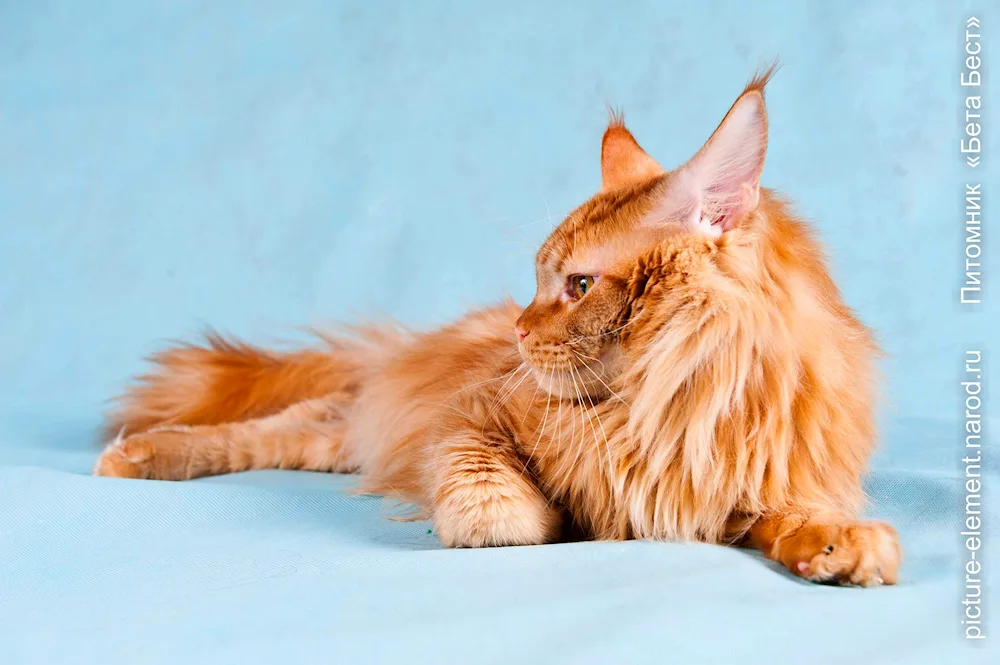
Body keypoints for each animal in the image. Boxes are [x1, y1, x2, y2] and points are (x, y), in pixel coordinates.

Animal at [97, 68, 904, 588]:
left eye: (578, 286)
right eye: (542, 279)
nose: (518, 327)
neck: (669, 406)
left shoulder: (745, 487)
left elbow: (793, 514)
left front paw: (841, 545)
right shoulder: (472, 412)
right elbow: (482, 479)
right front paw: (523, 518)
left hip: (341, 438)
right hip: (354, 421)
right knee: (262, 432)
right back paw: (136, 454)